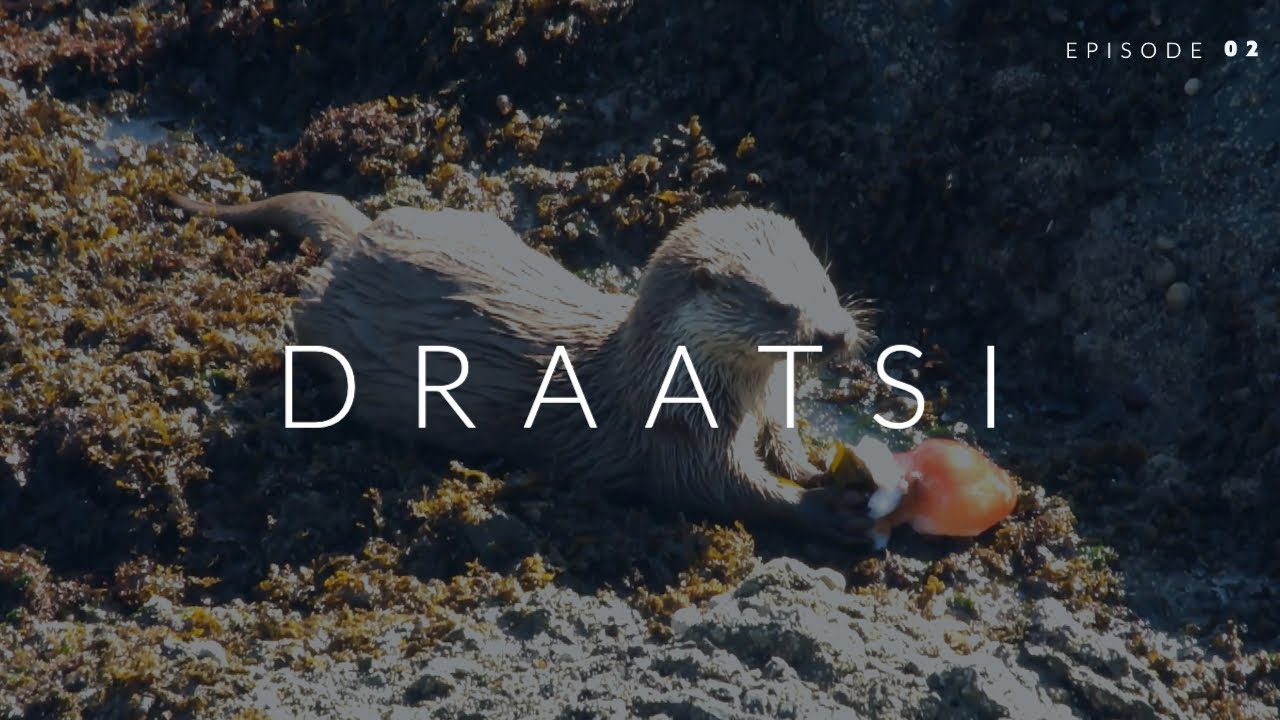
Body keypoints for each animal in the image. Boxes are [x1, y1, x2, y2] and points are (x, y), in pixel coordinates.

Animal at [167, 191, 870, 539]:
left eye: (825, 283)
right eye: (780, 304)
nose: (835, 334)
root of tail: (360, 240)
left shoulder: (767, 408)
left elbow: (785, 442)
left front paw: (816, 469)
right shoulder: (675, 437)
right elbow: (726, 490)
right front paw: (823, 511)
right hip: (324, 325)